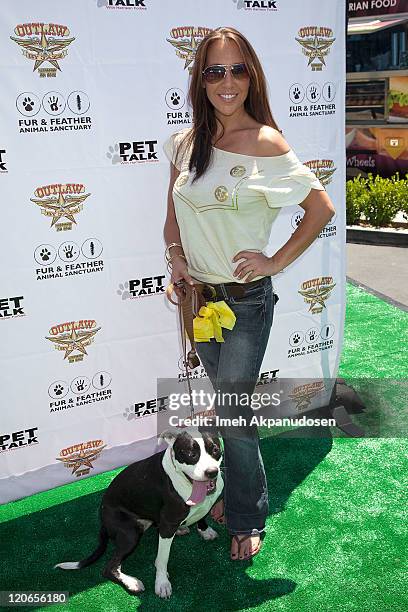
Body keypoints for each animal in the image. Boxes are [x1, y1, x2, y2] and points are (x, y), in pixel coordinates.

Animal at [54, 428, 223, 600]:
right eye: (191, 454)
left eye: (215, 449)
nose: (211, 472)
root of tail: (103, 520)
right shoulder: (168, 525)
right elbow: (162, 559)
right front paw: (161, 583)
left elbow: (202, 515)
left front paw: (204, 530)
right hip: (130, 533)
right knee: (109, 567)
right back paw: (131, 583)